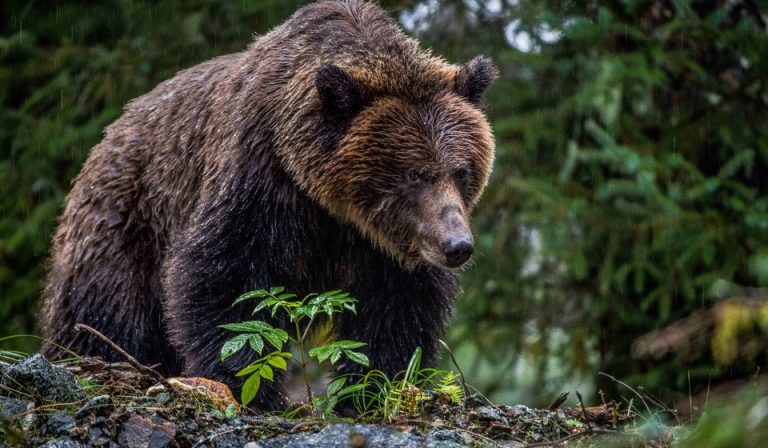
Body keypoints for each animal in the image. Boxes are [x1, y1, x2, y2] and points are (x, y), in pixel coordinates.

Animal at [42, 0, 496, 409]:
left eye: (461, 171)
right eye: (413, 174)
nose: (457, 245)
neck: (332, 203)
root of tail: (108, 134)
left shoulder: (384, 245)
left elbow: (398, 308)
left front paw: (368, 389)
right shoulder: (262, 179)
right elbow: (226, 275)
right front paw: (250, 385)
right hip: (124, 221)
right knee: (106, 310)